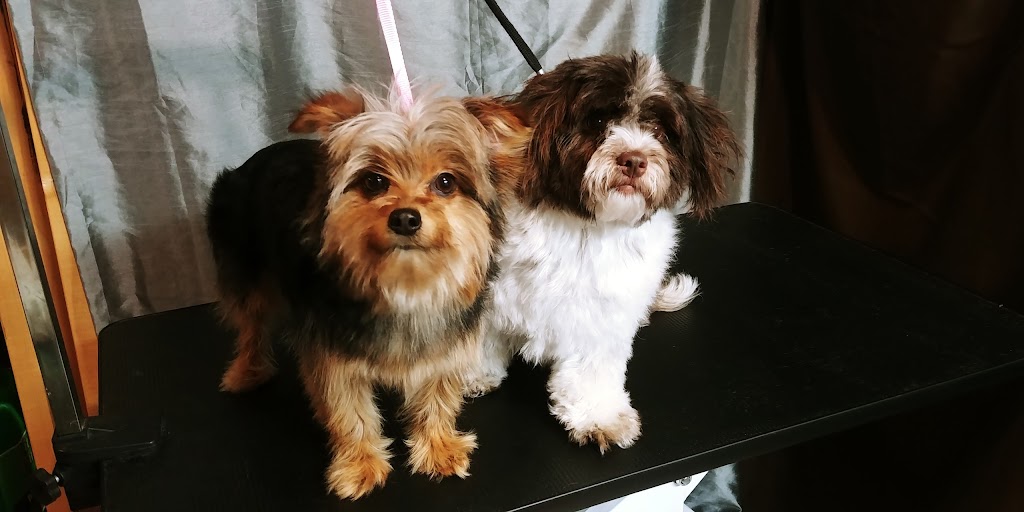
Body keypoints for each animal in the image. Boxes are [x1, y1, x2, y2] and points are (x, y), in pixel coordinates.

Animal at [206, 86, 524, 499]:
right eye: (374, 181)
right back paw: (247, 371)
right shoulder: (332, 356)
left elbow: (437, 396)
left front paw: (437, 447)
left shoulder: (444, 345)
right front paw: (359, 466)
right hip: (245, 270)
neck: (405, 288)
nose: (405, 217)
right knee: (251, 325)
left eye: (446, 182)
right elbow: (349, 412)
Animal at [462, 52, 741, 453]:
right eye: (597, 121)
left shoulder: (601, 314)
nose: (634, 159)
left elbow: (591, 369)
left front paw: (599, 416)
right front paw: (472, 374)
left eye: (660, 132)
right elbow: (481, 336)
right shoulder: (490, 292)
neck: (584, 228)